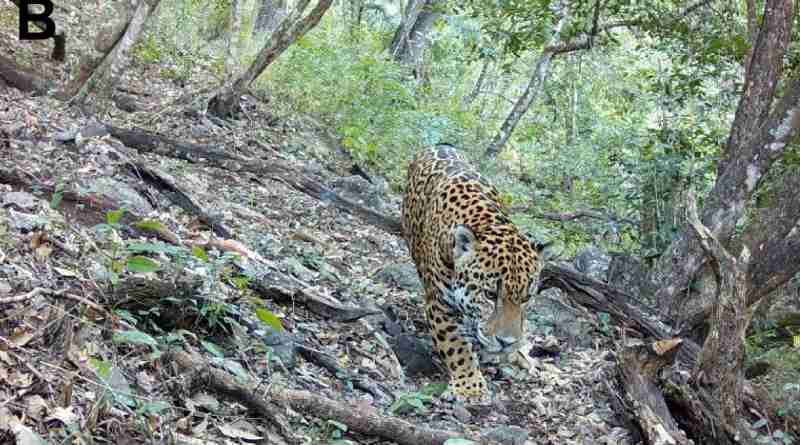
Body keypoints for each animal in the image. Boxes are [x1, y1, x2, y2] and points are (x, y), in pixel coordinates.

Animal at [401, 144, 544, 401]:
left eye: (527, 298)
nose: (507, 342)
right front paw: (470, 387)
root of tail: (440, 145)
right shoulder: (440, 304)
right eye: (489, 295)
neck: (488, 221)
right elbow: (456, 345)